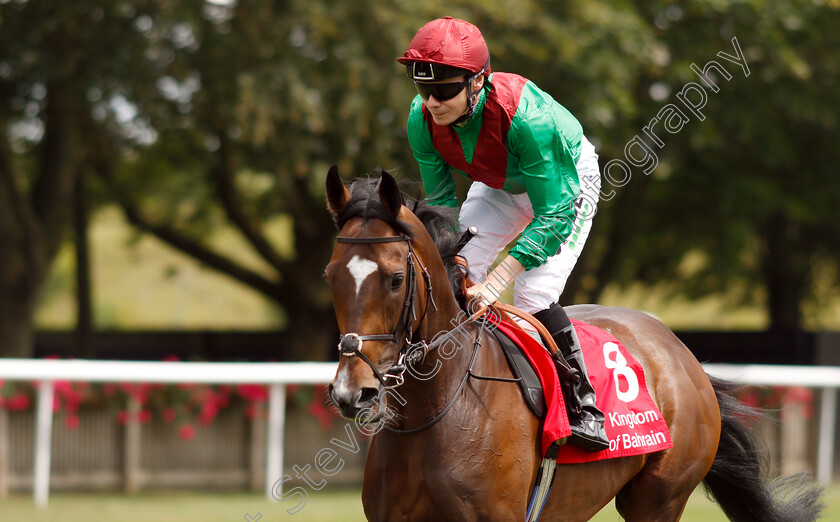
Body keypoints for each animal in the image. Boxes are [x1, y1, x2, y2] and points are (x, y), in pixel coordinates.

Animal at [324, 168, 824, 520]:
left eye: (395, 278)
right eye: (331, 275)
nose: (353, 392)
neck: (437, 410)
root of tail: (682, 354)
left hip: (660, 498)